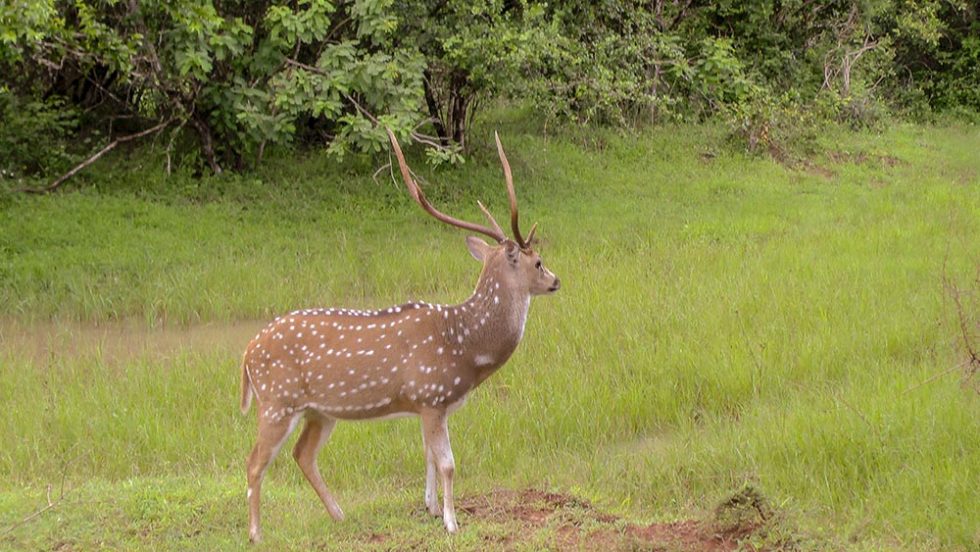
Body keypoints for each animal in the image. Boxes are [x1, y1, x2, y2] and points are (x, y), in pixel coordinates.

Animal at [236, 127, 560, 540]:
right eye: (538, 262)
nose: (556, 280)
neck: (465, 347)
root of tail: (246, 353)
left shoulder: (426, 403)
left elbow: (428, 457)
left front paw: (431, 508)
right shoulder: (432, 392)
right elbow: (448, 462)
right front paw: (452, 522)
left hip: (318, 411)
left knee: (302, 455)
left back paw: (339, 515)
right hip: (278, 401)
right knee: (254, 461)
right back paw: (257, 533)